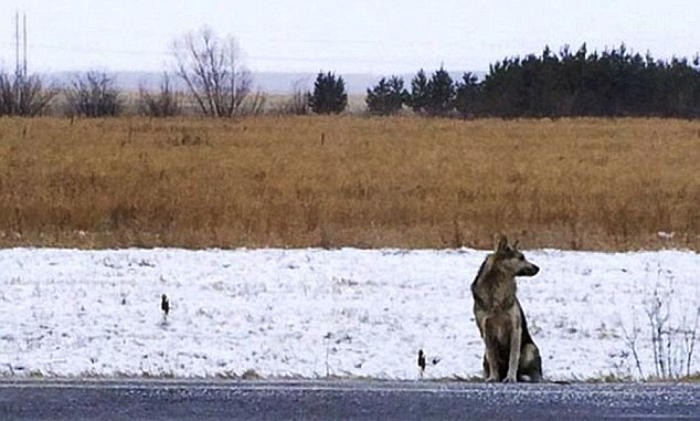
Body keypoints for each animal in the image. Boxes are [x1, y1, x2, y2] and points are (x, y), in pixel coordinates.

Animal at [470, 235, 540, 382]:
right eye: (521, 258)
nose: (538, 268)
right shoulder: (486, 331)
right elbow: (493, 358)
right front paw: (493, 377)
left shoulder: (515, 328)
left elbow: (513, 357)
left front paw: (511, 378)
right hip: (484, 355)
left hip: (529, 349)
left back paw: (523, 377)